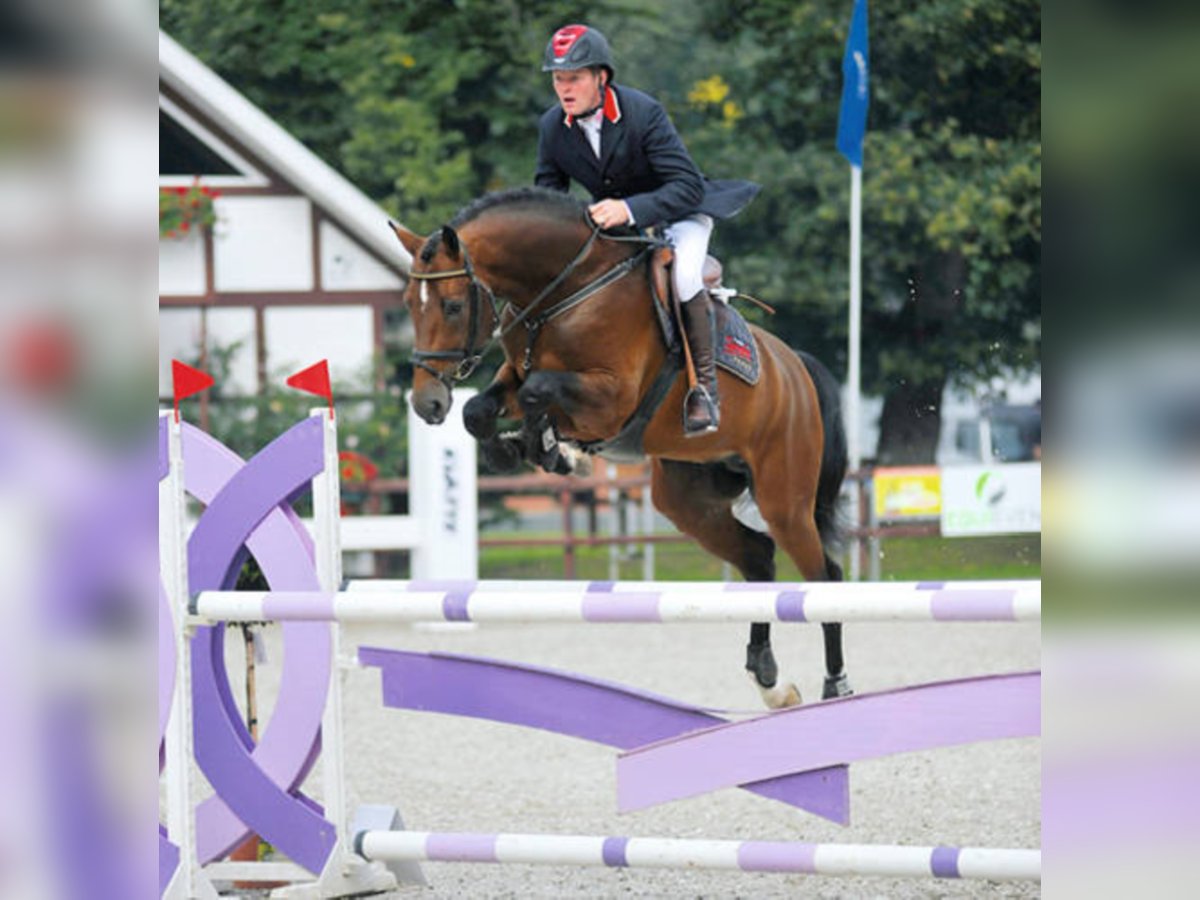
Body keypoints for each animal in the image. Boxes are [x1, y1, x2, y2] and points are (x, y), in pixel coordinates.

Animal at [388, 188, 849, 710]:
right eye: (408, 304)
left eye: (451, 307)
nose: (427, 402)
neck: (564, 294)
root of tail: (795, 367)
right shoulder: (516, 374)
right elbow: (480, 410)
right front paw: (523, 449)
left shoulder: (611, 398)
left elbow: (539, 391)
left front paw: (552, 447)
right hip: (688, 499)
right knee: (758, 556)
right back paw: (770, 680)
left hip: (784, 499)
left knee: (824, 576)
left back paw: (835, 684)